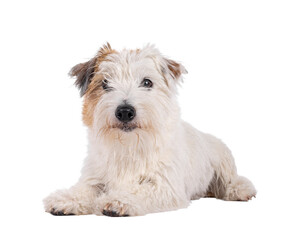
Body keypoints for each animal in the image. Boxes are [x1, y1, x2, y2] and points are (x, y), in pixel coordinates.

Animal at [44, 43, 255, 218]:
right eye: (105, 83)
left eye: (147, 82)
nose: (125, 111)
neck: (129, 146)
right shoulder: (95, 179)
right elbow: (84, 190)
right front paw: (66, 199)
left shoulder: (165, 186)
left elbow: (140, 190)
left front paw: (119, 200)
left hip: (222, 160)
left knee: (231, 180)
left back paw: (240, 190)